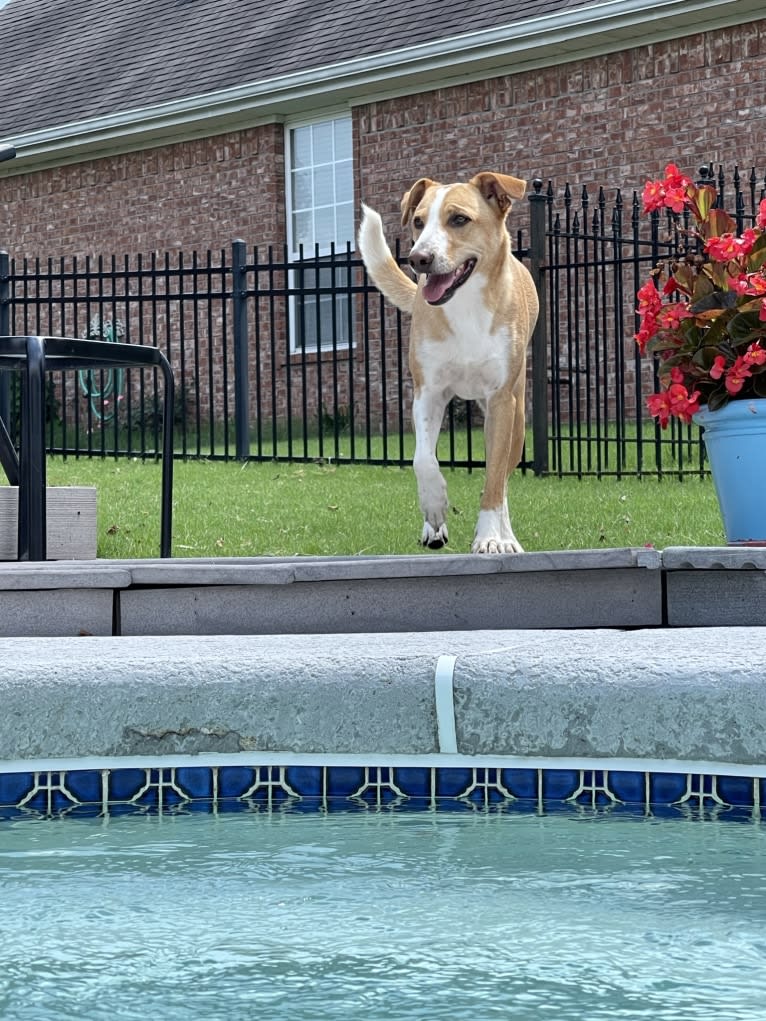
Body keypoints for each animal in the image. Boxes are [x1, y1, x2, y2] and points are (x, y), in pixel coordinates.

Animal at [359, 176, 539, 559]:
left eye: (459, 219)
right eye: (417, 221)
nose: (418, 258)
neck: (465, 306)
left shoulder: (501, 402)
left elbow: (494, 480)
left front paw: (490, 538)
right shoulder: (427, 392)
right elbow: (423, 460)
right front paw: (435, 509)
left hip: (516, 418)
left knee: (502, 479)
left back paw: (506, 535)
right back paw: (433, 529)